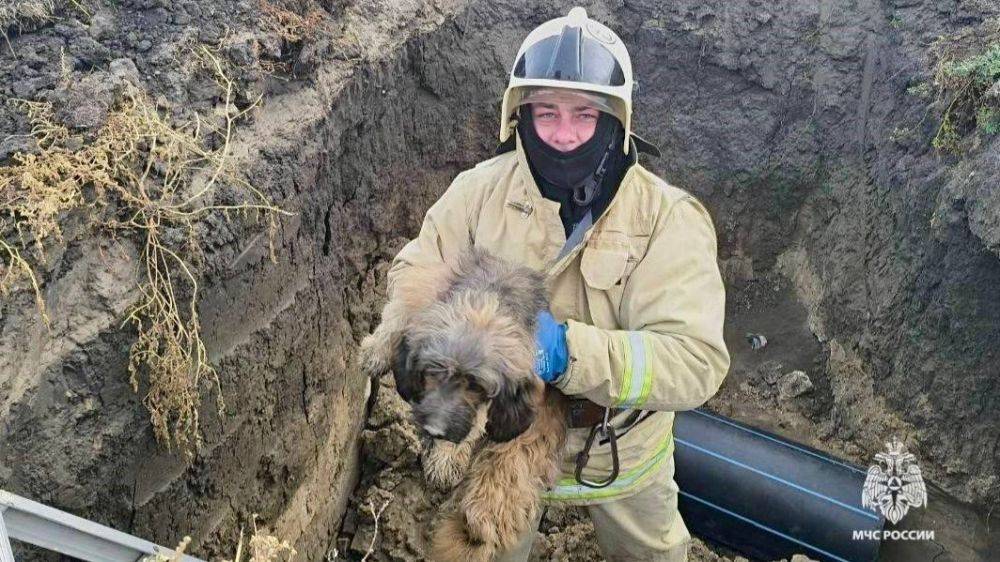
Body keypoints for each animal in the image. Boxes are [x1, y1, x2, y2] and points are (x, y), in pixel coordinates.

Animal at [360, 247, 568, 556]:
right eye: (435, 370)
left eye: (477, 386)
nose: (435, 430)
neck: (487, 301)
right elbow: (401, 316)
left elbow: (481, 429)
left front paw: (448, 457)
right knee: (399, 306)